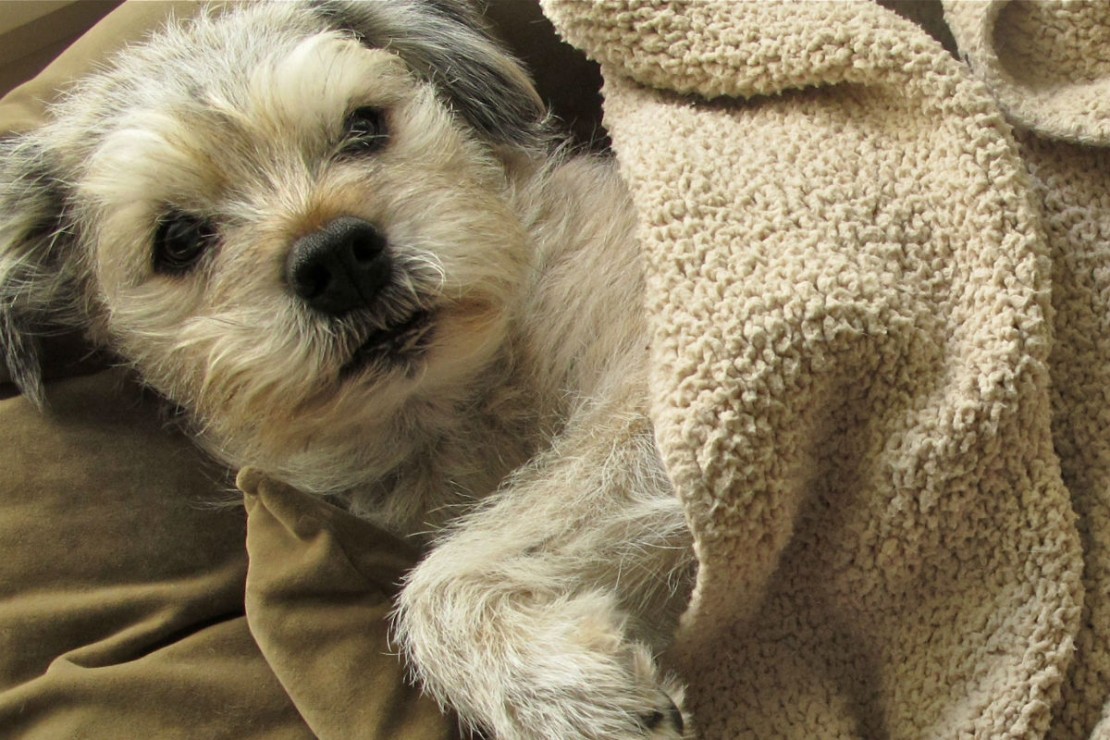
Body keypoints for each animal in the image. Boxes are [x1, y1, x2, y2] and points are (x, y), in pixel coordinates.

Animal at [0, 2, 696, 737]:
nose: (336, 255)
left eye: (362, 125)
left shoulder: (658, 387)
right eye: (178, 240)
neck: (465, 399)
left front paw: (559, 691)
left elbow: (450, 567)